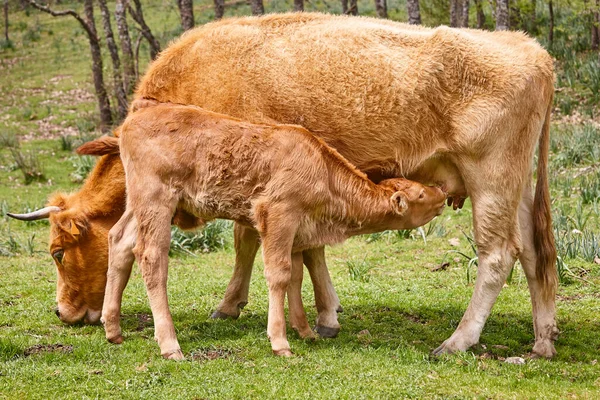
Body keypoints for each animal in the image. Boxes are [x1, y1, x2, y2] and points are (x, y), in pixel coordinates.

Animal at [104, 101, 446, 358]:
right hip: (157, 202)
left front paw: (306, 332)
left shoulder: (297, 231)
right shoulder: (278, 215)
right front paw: (281, 343)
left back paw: (113, 330)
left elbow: (295, 276)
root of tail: (137, 116)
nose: (442, 192)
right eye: (420, 195)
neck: (321, 168)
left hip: (138, 206)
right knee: (151, 257)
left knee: (119, 241)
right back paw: (170, 345)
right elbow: (279, 275)